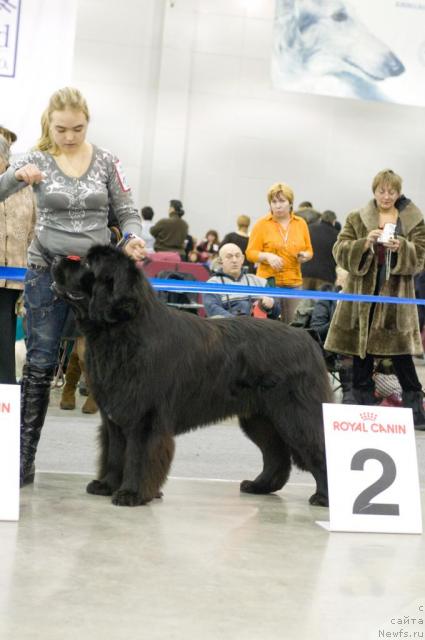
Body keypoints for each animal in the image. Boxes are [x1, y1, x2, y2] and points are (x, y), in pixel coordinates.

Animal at [51, 248, 332, 508]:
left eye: (89, 264)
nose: (56, 258)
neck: (121, 331)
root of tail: (308, 339)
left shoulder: (144, 416)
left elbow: (137, 455)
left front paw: (131, 493)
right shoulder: (114, 416)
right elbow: (114, 453)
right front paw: (107, 485)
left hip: (296, 414)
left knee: (318, 447)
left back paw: (323, 497)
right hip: (260, 418)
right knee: (276, 455)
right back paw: (259, 485)